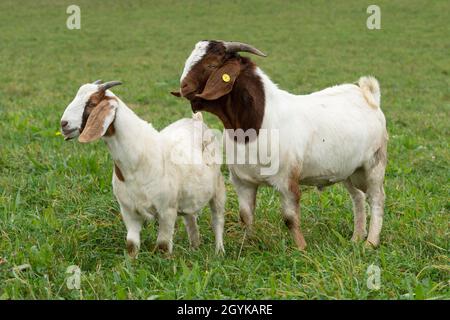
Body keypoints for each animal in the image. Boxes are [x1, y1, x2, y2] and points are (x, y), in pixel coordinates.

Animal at [171, 40, 388, 250]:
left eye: (211, 64)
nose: (183, 88)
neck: (255, 125)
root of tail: (367, 94)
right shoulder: (242, 181)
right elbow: (245, 216)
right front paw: (249, 245)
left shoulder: (287, 179)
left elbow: (290, 218)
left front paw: (301, 248)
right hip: (349, 170)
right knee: (358, 197)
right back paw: (356, 238)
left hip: (374, 163)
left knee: (376, 198)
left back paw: (370, 242)